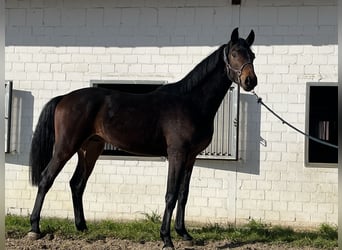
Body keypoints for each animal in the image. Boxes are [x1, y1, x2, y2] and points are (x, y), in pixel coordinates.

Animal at [28, 27, 256, 250]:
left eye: (252, 55)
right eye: (235, 54)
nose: (250, 81)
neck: (190, 102)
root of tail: (64, 98)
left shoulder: (191, 157)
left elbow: (183, 194)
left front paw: (184, 234)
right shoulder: (177, 154)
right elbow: (171, 194)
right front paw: (166, 239)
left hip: (90, 149)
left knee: (77, 184)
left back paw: (82, 227)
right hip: (66, 147)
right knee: (46, 178)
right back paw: (35, 228)